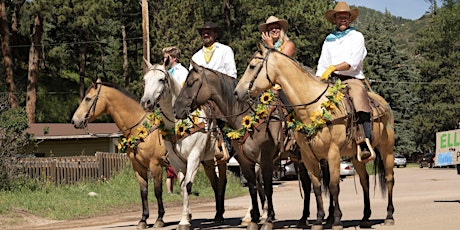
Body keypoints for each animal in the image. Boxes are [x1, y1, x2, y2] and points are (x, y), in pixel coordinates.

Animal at [73, 79, 169, 228]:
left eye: (88, 99)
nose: (74, 120)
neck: (141, 129)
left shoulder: (156, 165)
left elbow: (158, 191)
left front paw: (159, 219)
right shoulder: (138, 167)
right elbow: (144, 192)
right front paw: (143, 220)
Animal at [139, 60, 227, 229]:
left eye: (161, 79)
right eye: (144, 80)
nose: (146, 102)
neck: (178, 123)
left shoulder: (193, 157)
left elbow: (188, 185)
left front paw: (184, 221)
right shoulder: (176, 161)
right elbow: (181, 187)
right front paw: (187, 216)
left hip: (222, 160)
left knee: (223, 183)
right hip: (208, 162)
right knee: (215, 183)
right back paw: (218, 214)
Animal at [174, 60, 314, 229]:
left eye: (190, 83)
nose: (176, 109)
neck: (247, 117)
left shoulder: (265, 160)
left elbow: (267, 188)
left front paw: (267, 219)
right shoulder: (245, 162)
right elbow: (253, 188)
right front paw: (254, 220)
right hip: (298, 158)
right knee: (306, 183)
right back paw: (303, 218)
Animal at [234, 43, 396, 230]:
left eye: (252, 66)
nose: (237, 92)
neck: (313, 107)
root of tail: (383, 104)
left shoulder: (332, 154)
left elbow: (333, 186)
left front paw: (337, 221)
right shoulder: (308, 157)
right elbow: (317, 186)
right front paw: (319, 220)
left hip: (387, 149)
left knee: (389, 178)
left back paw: (389, 216)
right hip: (357, 155)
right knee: (365, 180)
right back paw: (365, 217)